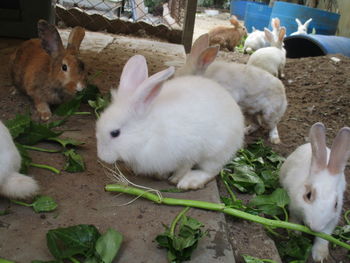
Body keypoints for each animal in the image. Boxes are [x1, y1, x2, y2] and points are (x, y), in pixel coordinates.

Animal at [94, 55, 245, 190]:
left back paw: (190, 181)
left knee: (210, 171)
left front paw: (175, 179)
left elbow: (184, 167)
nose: (102, 157)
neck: (149, 134)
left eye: (115, 133)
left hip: (216, 153)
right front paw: (161, 175)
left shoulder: (190, 150)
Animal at [280, 122, 350, 262]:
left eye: (336, 204)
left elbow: (323, 238)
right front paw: (295, 233)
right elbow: (294, 220)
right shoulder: (294, 207)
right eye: (308, 195)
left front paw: (320, 256)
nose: (315, 227)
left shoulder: (331, 221)